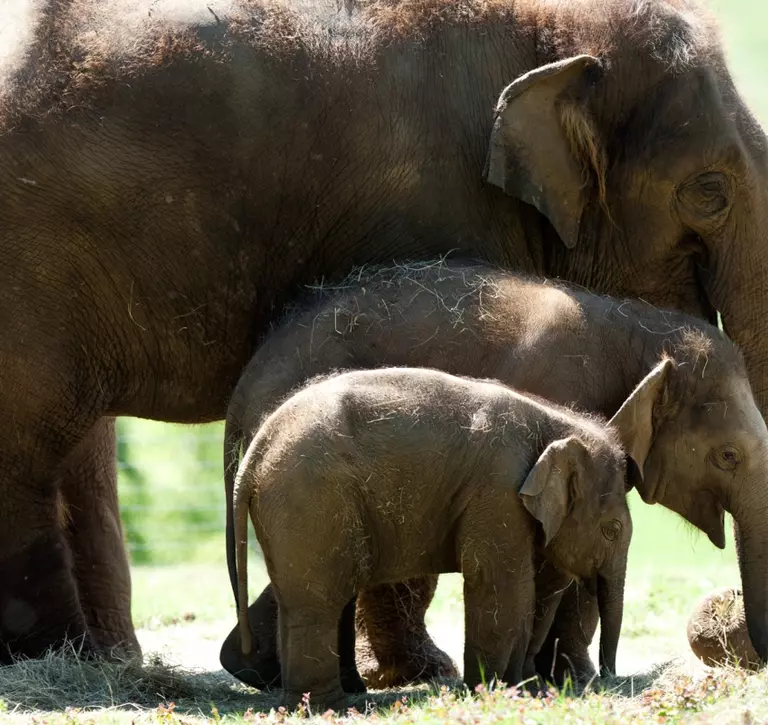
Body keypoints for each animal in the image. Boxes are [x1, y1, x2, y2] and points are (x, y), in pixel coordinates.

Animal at [231, 368, 632, 708]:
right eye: (611, 530)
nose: (609, 678)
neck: (555, 422)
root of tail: (253, 456)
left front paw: (521, 690)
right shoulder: (498, 492)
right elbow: (501, 586)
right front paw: (497, 694)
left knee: (309, 599)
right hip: (311, 500)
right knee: (319, 600)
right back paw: (333, 707)